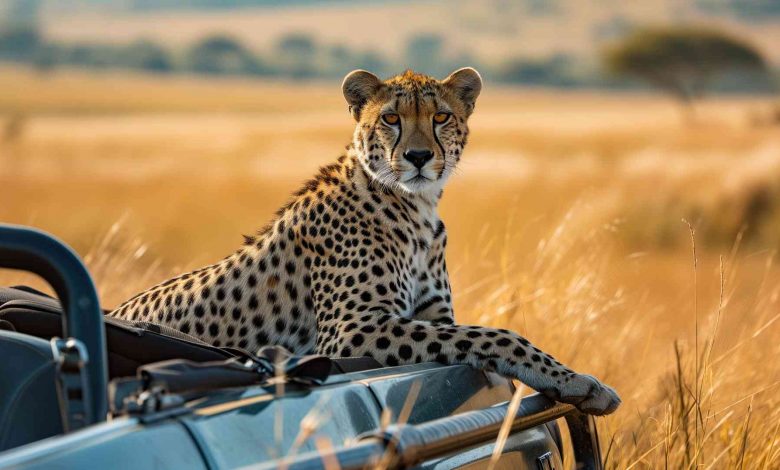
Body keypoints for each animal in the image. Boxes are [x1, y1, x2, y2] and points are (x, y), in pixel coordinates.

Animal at [110, 68, 621, 415]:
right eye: (391, 118)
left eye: (441, 116)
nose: (418, 156)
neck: (416, 207)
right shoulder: (351, 330)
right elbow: (496, 333)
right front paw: (578, 381)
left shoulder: (432, 316)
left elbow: (473, 336)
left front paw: (569, 379)